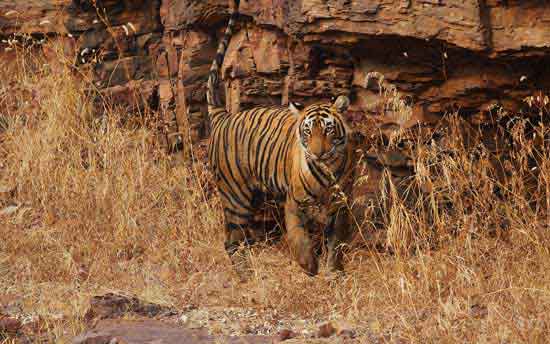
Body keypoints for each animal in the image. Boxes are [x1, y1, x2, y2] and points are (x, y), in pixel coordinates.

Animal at [208, 0, 358, 276]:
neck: (327, 170)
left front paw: (333, 272)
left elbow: (336, 243)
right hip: (236, 196)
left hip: (253, 195)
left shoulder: (340, 205)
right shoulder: (294, 203)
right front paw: (309, 266)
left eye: (328, 130)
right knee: (231, 240)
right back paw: (246, 274)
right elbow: (299, 237)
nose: (318, 153)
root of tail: (224, 117)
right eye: (308, 131)